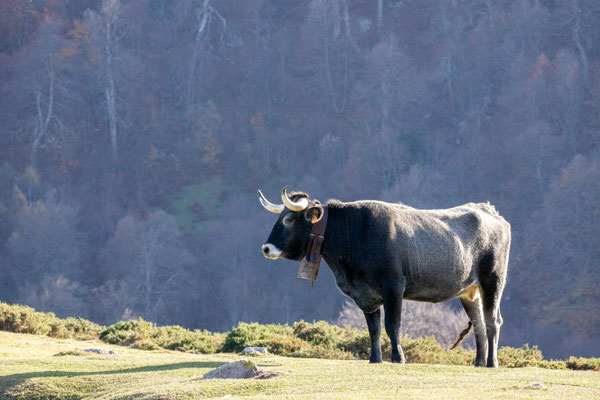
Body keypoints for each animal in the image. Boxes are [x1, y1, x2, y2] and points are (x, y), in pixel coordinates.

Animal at [258, 186, 510, 368]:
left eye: (289, 219)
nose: (266, 248)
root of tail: (489, 211)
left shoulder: (393, 286)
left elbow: (392, 325)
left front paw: (398, 358)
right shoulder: (366, 295)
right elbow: (374, 328)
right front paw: (375, 358)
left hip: (492, 281)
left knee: (492, 321)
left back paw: (491, 363)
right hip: (469, 292)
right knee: (478, 323)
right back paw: (478, 362)